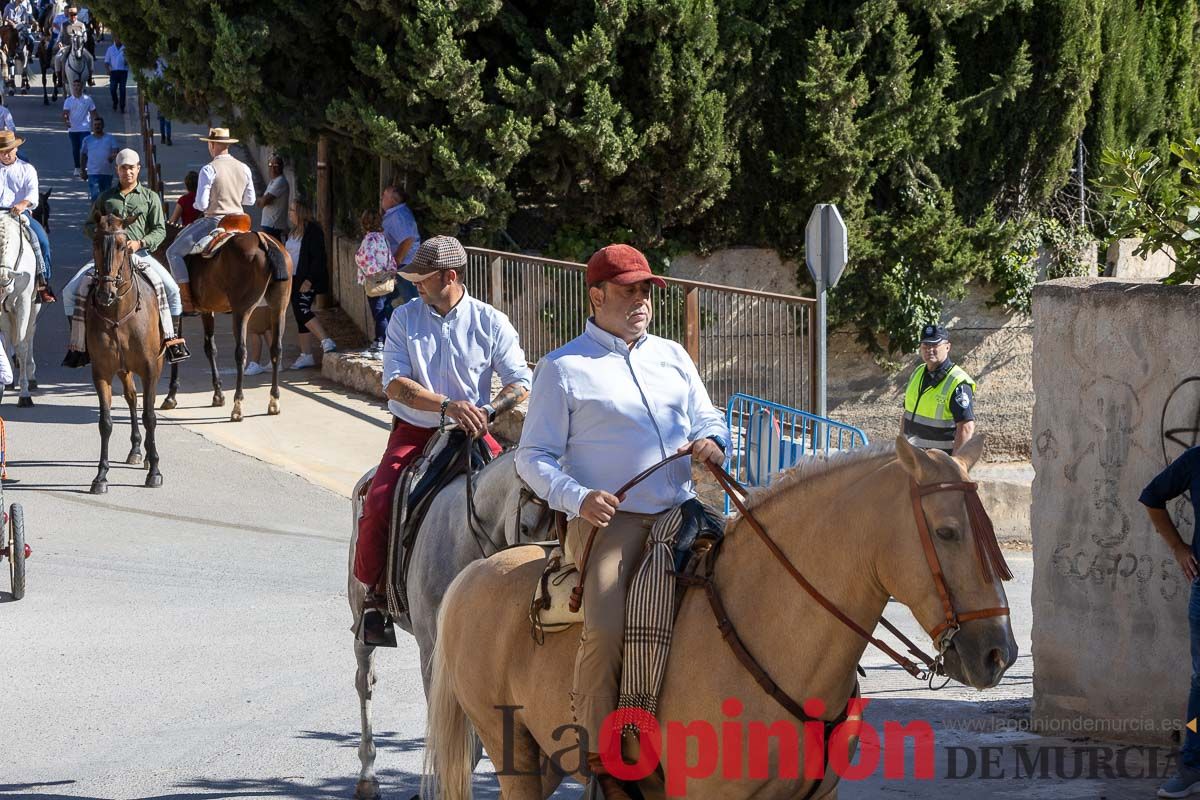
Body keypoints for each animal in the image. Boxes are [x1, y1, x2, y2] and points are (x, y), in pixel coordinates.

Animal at [85, 215, 164, 491]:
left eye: (122, 245)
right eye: (96, 241)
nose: (105, 293)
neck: (118, 313)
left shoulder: (150, 369)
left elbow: (150, 416)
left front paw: (155, 472)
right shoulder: (102, 371)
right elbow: (105, 423)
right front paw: (100, 476)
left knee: (145, 404)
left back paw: (149, 458)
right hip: (123, 369)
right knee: (131, 398)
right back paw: (137, 450)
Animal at [158, 224, 291, 424]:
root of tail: (263, 240)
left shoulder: (174, 310)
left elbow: (176, 348)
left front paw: (171, 396)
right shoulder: (207, 310)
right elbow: (210, 348)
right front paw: (218, 395)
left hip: (242, 311)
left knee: (241, 352)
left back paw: (238, 406)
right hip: (278, 309)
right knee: (276, 349)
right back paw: (273, 401)